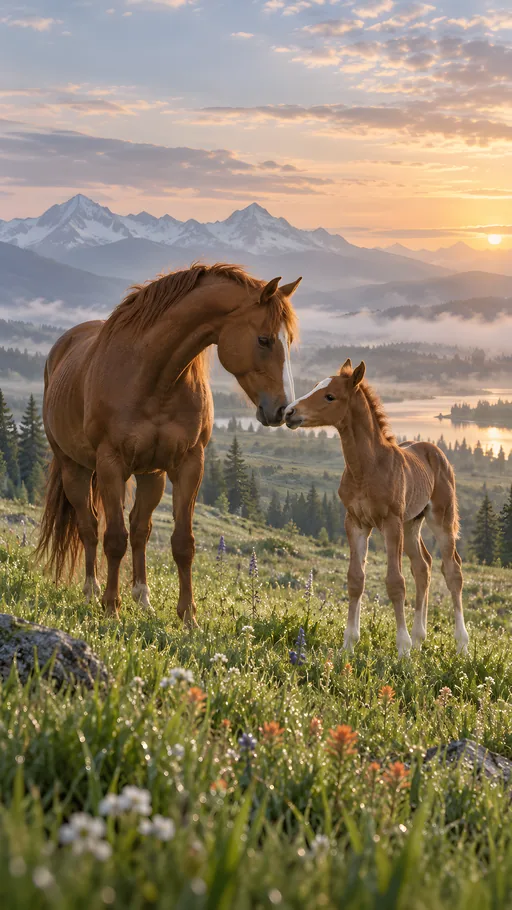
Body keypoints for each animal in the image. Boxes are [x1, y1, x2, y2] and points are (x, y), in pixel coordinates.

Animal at [36, 263, 301, 623]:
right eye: (264, 339)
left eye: (289, 341)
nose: (282, 410)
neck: (154, 379)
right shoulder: (110, 464)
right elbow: (113, 539)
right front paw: (111, 608)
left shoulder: (189, 465)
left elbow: (182, 543)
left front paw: (188, 616)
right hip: (73, 468)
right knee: (89, 526)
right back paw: (92, 591)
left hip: (152, 475)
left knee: (140, 529)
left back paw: (142, 597)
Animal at [284, 360, 469, 656]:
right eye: (314, 386)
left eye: (330, 396)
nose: (289, 412)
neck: (367, 467)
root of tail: (436, 452)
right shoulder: (356, 522)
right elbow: (355, 579)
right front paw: (349, 643)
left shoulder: (390, 523)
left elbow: (395, 582)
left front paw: (402, 649)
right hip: (412, 523)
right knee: (423, 566)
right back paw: (420, 637)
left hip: (441, 518)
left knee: (452, 570)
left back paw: (461, 643)